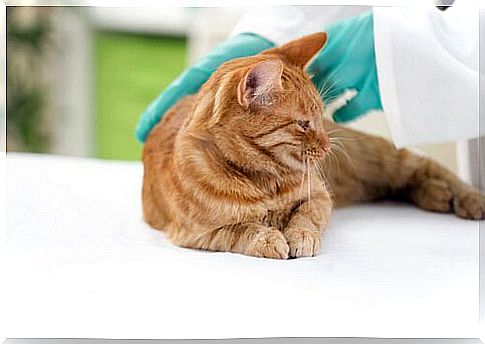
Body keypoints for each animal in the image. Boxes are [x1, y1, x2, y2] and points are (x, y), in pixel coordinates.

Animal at [142, 32, 482, 260]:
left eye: (320, 115)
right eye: (304, 124)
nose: (328, 144)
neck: (265, 183)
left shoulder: (319, 196)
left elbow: (305, 217)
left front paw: (300, 237)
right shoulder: (198, 233)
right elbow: (241, 229)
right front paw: (269, 239)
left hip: (379, 158)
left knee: (423, 167)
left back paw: (468, 198)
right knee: (402, 186)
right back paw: (437, 196)